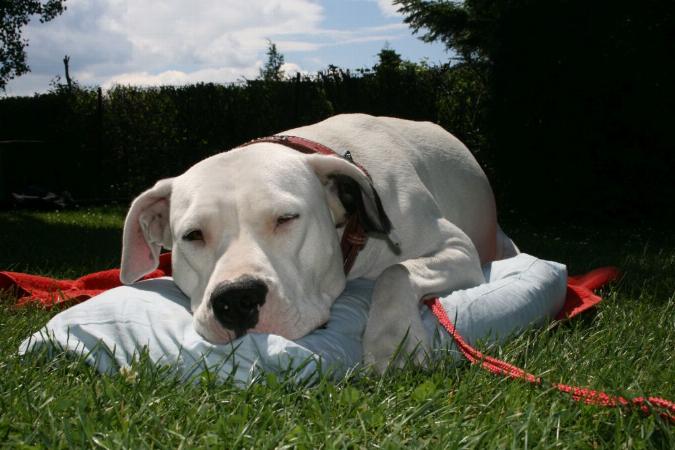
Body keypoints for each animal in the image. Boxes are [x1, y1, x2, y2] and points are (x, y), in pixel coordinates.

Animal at [120, 114, 518, 372]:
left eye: (286, 218)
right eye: (193, 235)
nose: (236, 298)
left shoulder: (457, 248)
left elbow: (395, 271)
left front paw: (392, 341)